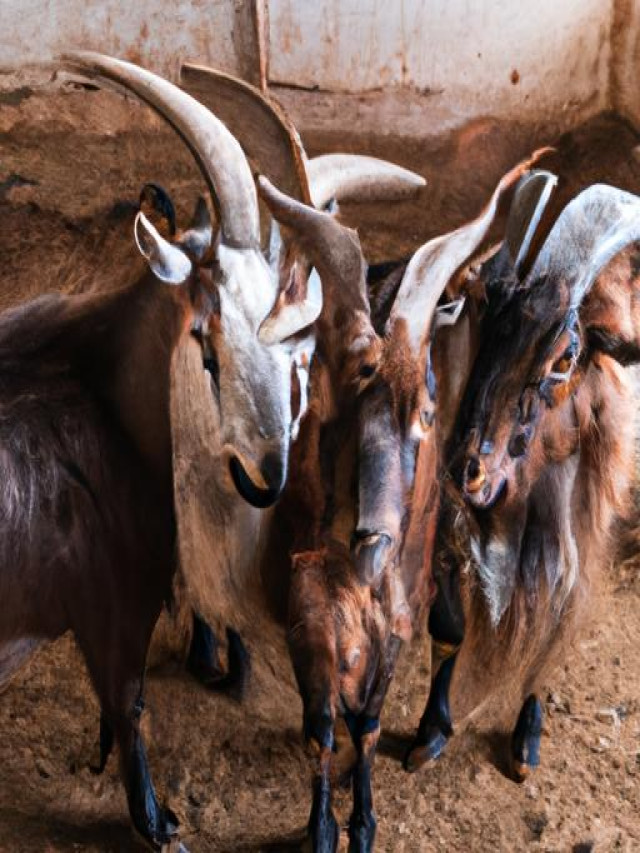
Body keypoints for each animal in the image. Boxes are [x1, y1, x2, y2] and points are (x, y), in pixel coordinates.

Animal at [405, 173, 640, 784]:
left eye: (565, 357)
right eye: (483, 328)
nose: (467, 469)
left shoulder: (581, 527)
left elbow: (556, 624)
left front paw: (526, 740)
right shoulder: (450, 529)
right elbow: (448, 629)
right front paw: (430, 731)